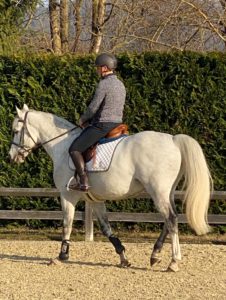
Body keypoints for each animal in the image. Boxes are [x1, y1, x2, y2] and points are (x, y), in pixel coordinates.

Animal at [8, 105, 213, 272]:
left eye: (16, 131)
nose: (11, 157)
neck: (62, 146)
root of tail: (173, 140)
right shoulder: (95, 200)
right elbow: (107, 229)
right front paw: (123, 257)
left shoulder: (67, 196)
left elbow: (67, 224)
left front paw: (62, 256)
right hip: (165, 192)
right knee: (169, 220)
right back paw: (155, 255)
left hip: (158, 192)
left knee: (171, 219)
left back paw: (174, 261)